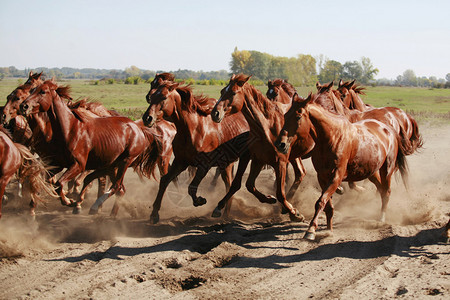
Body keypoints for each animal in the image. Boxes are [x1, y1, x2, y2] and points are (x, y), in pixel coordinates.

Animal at [19, 78, 156, 214]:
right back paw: (112, 214)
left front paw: (70, 201)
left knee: (115, 186)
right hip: (113, 166)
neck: (69, 129)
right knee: (120, 190)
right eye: (32, 90)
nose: (23, 106)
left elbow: (60, 182)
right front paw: (69, 200)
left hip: (125, 161)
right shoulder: (58, 164)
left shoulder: (78, 165)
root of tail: (139, 129)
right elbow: (51, 181)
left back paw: (94, 206)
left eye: (43, 91)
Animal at [142, 78, 251, 224]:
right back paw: (224, 213)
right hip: (227, 164)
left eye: (164, 97)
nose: (147, 118)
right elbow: (165, 180)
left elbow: (191, 187)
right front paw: (154, 214)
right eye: (152, 96)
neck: (194, 129)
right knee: (229, 184)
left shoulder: (204, 165)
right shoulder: (180, 162)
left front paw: (200, 200)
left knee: (231, 185)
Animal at [209, 74, 308, 221]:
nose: (215, 113)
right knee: (300, 173)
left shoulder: (280, 162)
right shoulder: (254, 159)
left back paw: (287, 207)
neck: (266, 128)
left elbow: (280, 193)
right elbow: (242, 184)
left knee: (300, 173)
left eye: (233, 92)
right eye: (222, 91)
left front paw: (294, 213)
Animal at [276, 92, 410, 240]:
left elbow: (321, 201)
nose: (280, 144)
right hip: (372, 172)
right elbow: (328, 205)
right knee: (380, 189)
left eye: (298, 116)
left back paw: (381, 219)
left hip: (387, 169)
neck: (332, 138)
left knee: (386, 192)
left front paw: (311, 230)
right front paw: (329, 229)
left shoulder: (336, 177)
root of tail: (389, 129)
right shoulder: (322, 177)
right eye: (285, 115)